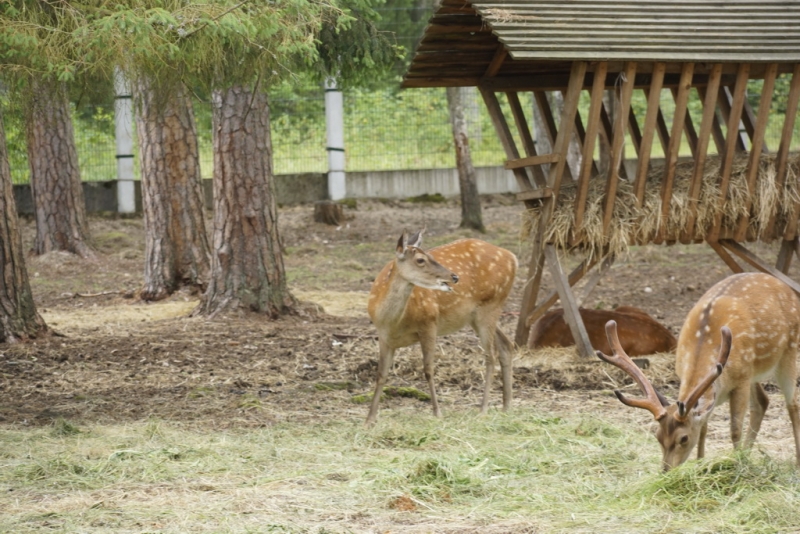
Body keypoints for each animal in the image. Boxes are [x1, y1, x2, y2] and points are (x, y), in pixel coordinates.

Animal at [364, 230, 520, 428]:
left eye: (430, 255)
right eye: (421, 260)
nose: (454, 277)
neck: (392, 322)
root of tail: (513, 257)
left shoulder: (429, 323)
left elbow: (428, 369)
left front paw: (437, 413)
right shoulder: (384, 337)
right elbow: (381, 374)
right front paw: (369, 419)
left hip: (490, 305)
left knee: (490, 355)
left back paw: (483, 409)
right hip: (476, 316)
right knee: (506, 345)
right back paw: (507, 406)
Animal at [596, 274, 800, 472]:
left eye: (683, 438)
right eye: (657, 435)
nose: (666, 471)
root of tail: (787, 288)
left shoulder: (741, 379)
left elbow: (735, 429)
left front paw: (737, 465)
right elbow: (703, 428)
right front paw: (701, 464)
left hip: (788, 353)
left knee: (792, 404)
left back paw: (794, 461)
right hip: (755, 372)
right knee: (762, 402)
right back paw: (748, 453)